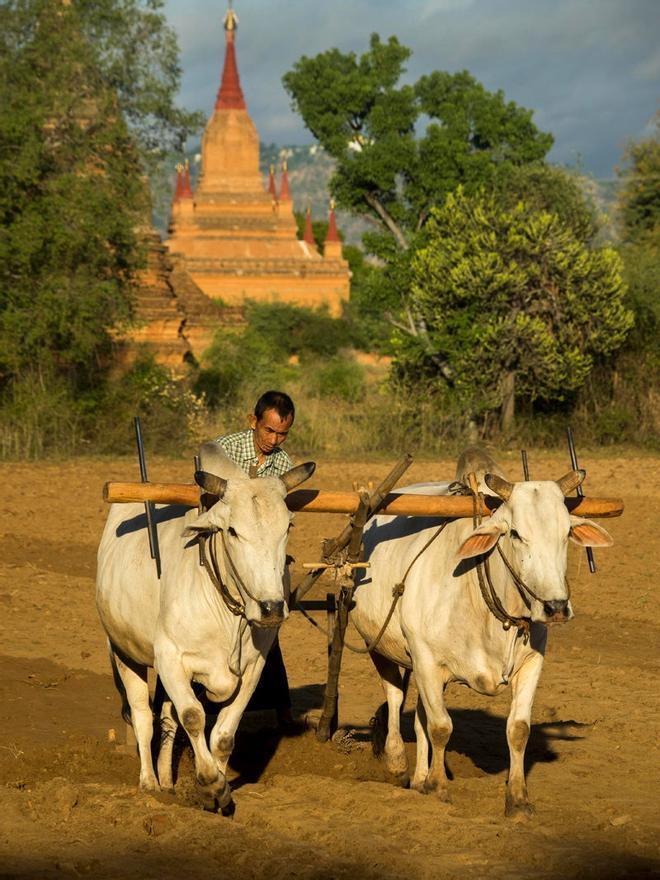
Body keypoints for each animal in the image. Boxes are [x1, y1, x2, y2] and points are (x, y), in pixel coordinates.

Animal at [95, 450, 314, 816]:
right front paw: (210, 785)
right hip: (123, 651)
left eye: (288, 526)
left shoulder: (252, 668)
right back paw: (150, 783)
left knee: (167, 720)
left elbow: (223, 736)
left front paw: (222, 790)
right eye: (233, 531)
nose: (271, 608)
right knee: (143, 717)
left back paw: (167, 782)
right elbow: (193, 717)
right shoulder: (170, 659)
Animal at [350, 450, 612, 816]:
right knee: (395, 696)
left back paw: (419, 779)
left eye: (565, 534)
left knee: (418, 716)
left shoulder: (532, 663)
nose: (556, 607)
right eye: (515, 533)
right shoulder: (426, 661)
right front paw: (439, 787)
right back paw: (397, 760)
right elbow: (441, 727)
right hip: (379, 645)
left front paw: (517, 799)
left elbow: (517, 729)